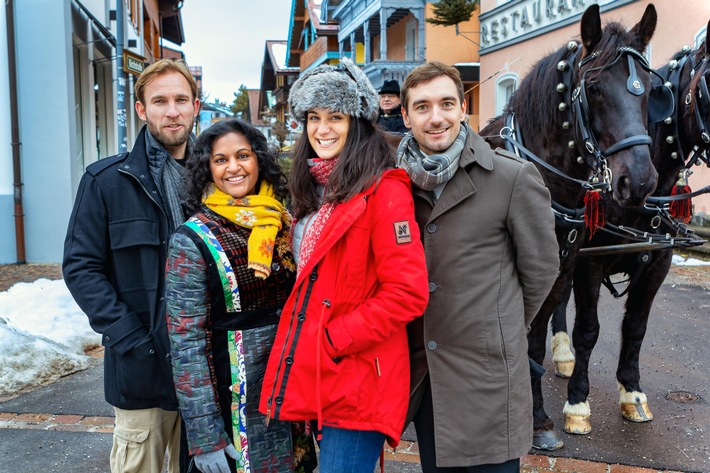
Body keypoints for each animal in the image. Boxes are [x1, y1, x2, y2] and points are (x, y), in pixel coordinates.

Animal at [482, 3, 672, 450]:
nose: (640, 181)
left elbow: (533, 344)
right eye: (596, 88)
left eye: (648, 91)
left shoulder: (562, 269)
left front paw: (537, 421)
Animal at [544, 22, 710, 436]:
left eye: (652, 93)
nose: (638, 181)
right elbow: (589, 329)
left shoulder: (657, 263)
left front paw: (632, 393)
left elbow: (635, 327)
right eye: (708, 84)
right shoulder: (589, 261)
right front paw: (578, 402)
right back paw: (562, 353)